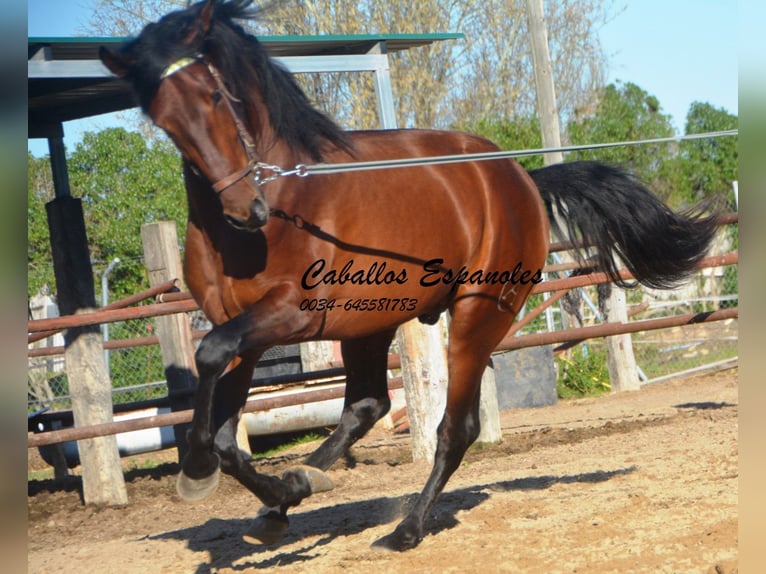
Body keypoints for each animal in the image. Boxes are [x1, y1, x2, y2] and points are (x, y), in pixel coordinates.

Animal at [100, 0, 720, 552]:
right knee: (368, 405)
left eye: (216, 95)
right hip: (370, 322)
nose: (243, 209)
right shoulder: (242, 329)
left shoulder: (291, 314)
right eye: (162, 117)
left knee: (454, 428)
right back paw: (300, 486)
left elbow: (209, 365)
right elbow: (227, 424)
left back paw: (404, 530)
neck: (281, 204)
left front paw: (198, 473)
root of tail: (517, 176)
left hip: (476, 314)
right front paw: (261, 492)